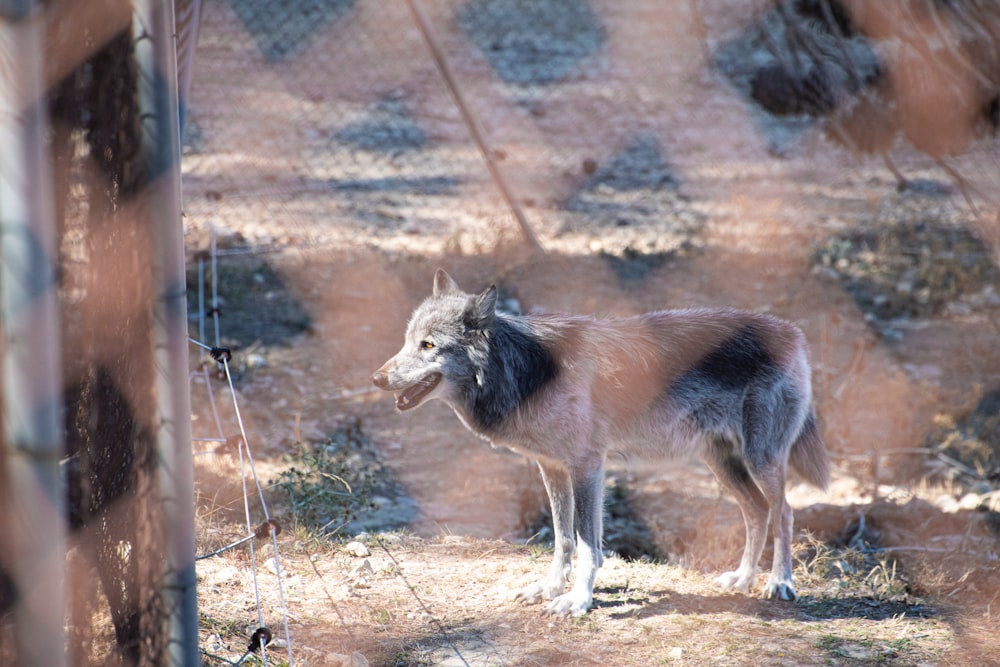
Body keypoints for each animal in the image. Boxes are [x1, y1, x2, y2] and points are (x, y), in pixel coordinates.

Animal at [374, 270, 828, 616]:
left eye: (428, 345)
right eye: (406, 340)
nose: (376, 378)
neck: (525, 372)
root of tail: (793, 332)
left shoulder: (587, 466)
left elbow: (589, 545)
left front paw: (577, 600)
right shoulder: (552, 467)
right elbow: (562, 539)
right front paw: (550, 589)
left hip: (760, 459)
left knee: (784, 511)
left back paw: (779, 582)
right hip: (723, 465)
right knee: (757, 511)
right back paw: (742, 579)